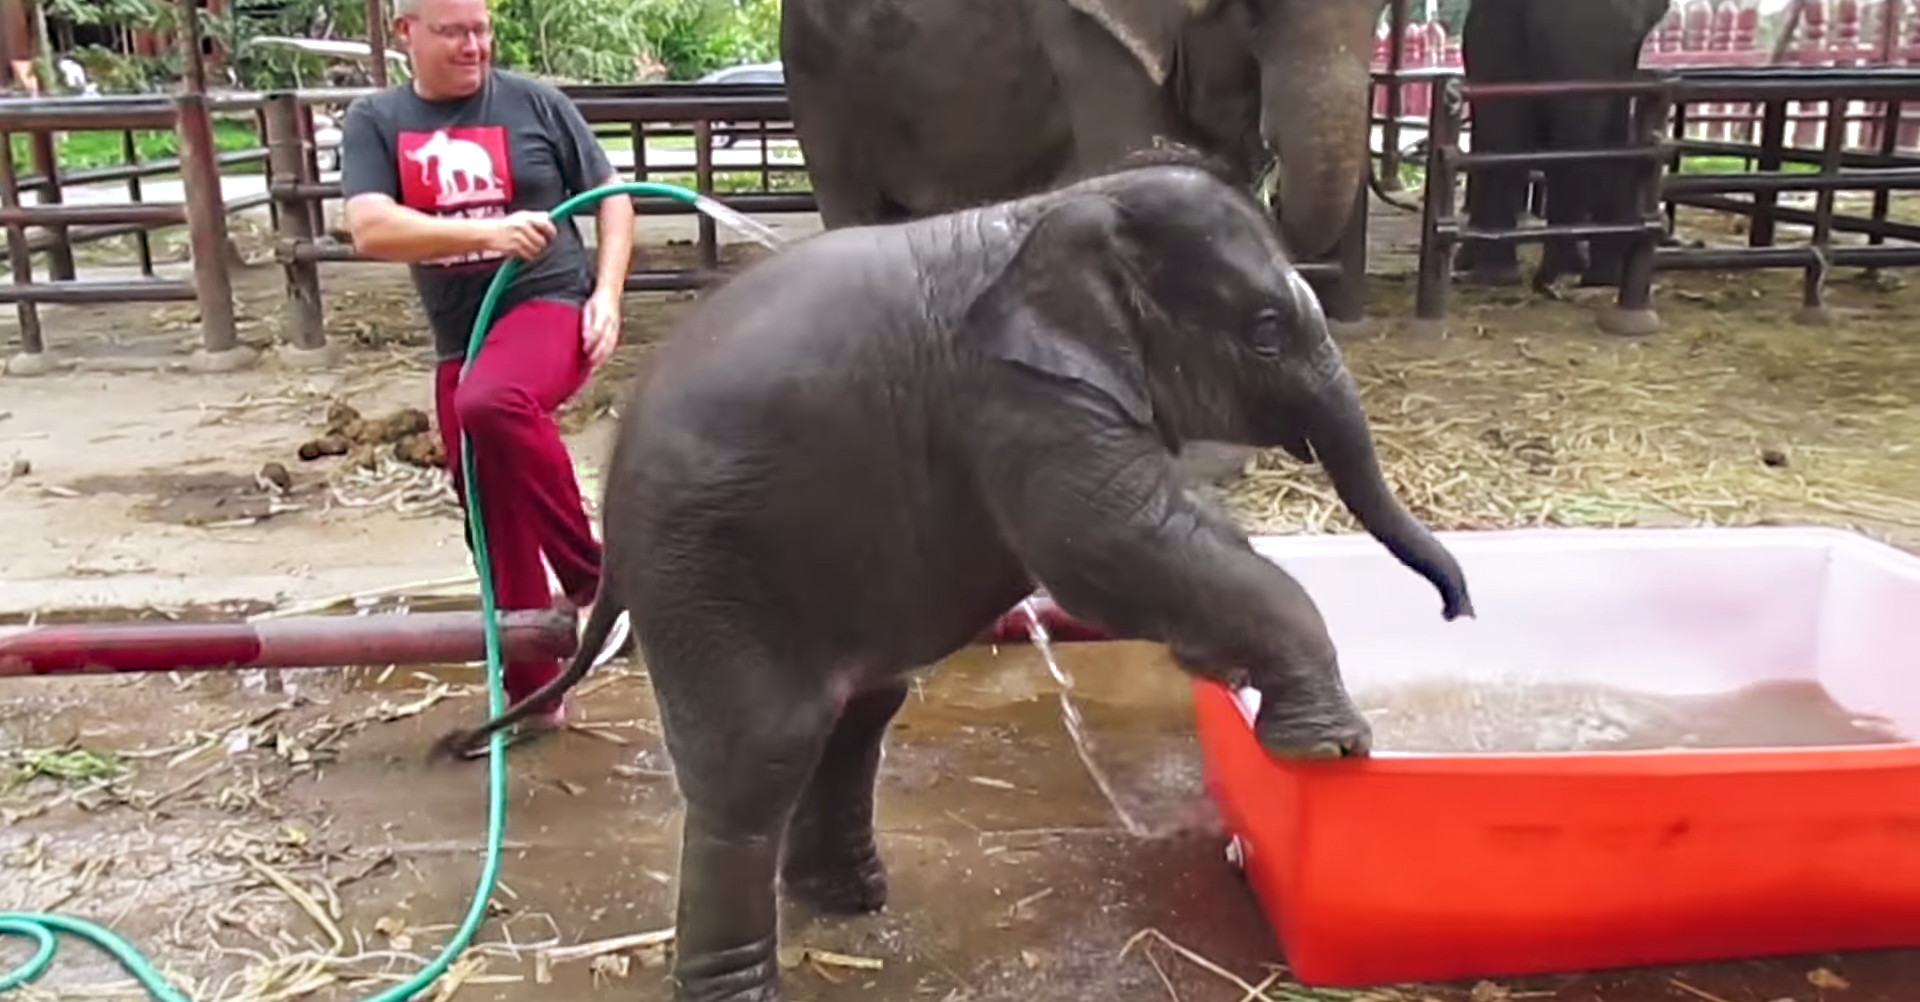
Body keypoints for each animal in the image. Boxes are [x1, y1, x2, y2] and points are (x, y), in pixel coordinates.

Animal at [434, 147, 1473, 1002]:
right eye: (1262, 330)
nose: (1457, 608)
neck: (1060, 206)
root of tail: (613, 494)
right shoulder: (1021, 396)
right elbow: (1112, 547)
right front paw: (1332, 750)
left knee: (858, 711)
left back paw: (851, 900)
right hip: (704, 562)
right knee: (755, 761)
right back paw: (745, 986)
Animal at [1451, 0, 1672, 290]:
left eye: (1634, 35)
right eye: (1539, 32)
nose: (1553, 280)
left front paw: (1601, 276)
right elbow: (1505, 131)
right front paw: (1501, 277)